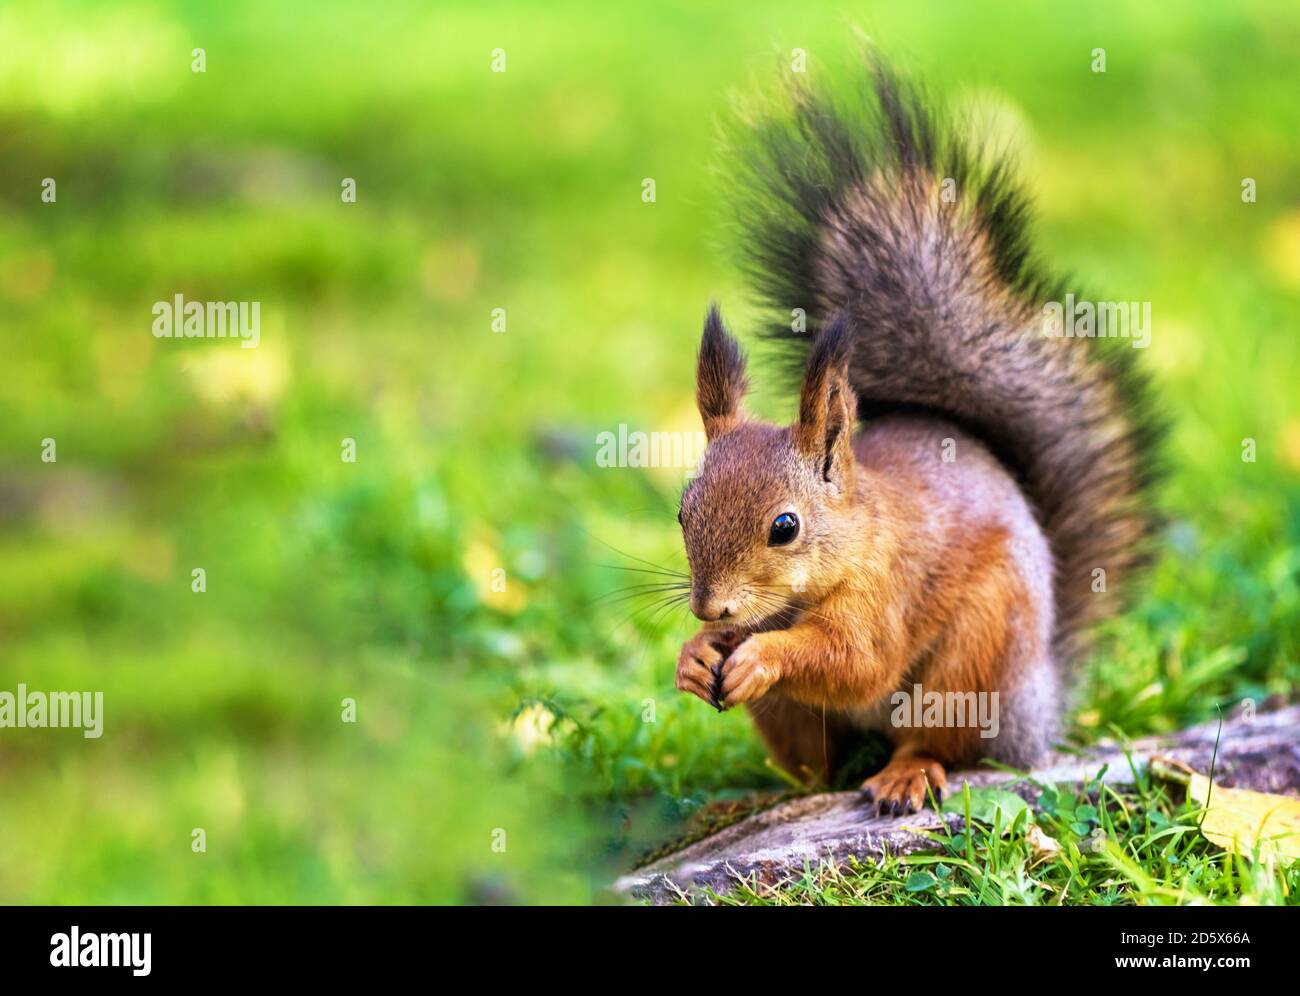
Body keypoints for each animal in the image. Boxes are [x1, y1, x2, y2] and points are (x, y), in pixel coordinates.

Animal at [674, 58, 1162, 815]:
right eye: (681, 511)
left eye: (785, 527)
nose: (708, 606)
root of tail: (1038, 708)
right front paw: (695, 653)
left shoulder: (887, 593)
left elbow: (857, 660)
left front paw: (763, 655)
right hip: (803, 720)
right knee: (815, 770)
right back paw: (752, 797)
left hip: (973, 664)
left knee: (943, 746)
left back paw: (906, 774)